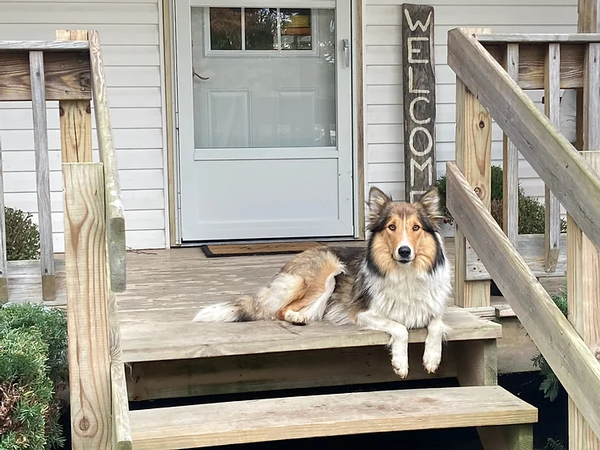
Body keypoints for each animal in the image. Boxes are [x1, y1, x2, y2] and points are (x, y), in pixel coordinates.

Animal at [195, 186, 452, 376]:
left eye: (416, 227)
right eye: (392, 227)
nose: (404, 251)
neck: (405, 274)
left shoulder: (433, 309)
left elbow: (437, 326)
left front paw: (432, 358)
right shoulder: (364, 314)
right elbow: (400, 328)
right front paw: (400, 363)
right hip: (325, 274)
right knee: (279, 310)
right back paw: (297, 317)